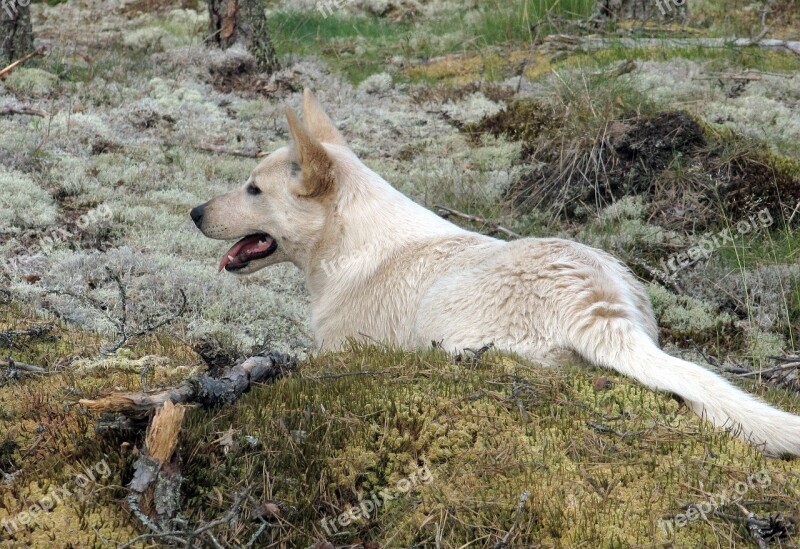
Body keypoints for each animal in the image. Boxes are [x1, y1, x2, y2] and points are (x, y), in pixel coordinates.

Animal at [192, 89, 800, 454]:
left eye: (253, 188)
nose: (194, 212)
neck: (347, 241)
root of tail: (597, 305)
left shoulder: (339, 348)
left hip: (449, 329)